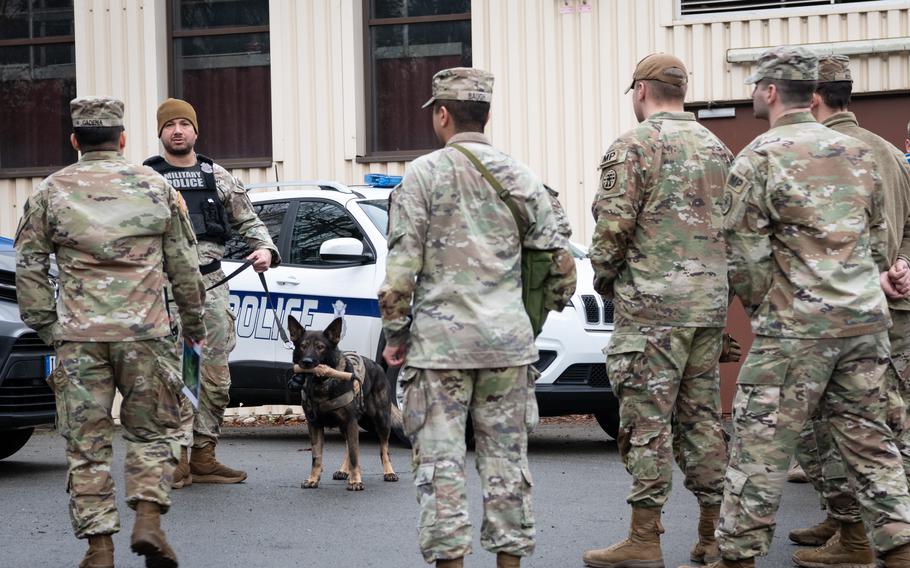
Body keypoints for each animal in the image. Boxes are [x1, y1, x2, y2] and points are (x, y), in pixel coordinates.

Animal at [286, 316, 398, 492]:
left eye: (320, 347)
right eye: (303, 346)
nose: (306, 362)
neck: (322, 382)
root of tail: (378, 365)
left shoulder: (350, 422)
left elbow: (354, 455)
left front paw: (355, 481)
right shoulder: (315, 425)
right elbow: (317, 456)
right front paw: (313, 479)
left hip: (382, 420)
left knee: (383, 448)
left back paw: (389, 472)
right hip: (345, 425)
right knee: (348, 446)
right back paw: (344, 471)